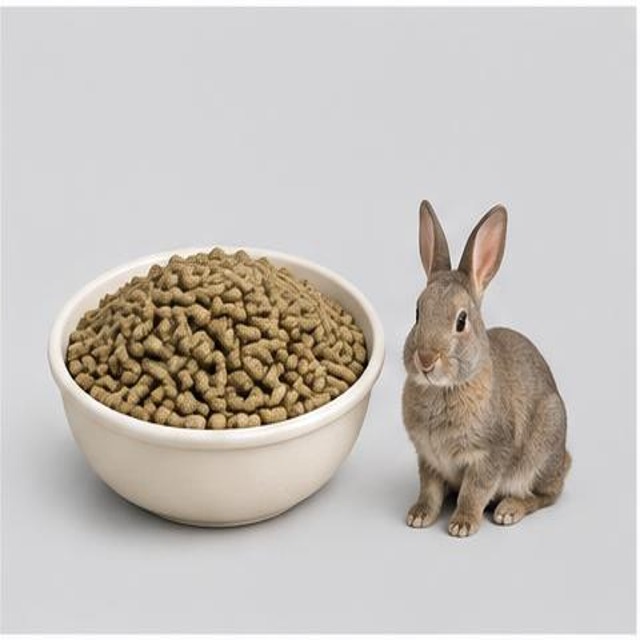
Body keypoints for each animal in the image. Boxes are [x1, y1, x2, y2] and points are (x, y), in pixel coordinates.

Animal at [402, 200, 570, 538]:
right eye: (417, 312)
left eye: (461, 321)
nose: (425, 359)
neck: (444, 388)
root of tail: (565, 459)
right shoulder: (428, 459)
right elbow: (429, 490)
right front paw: (419, 516)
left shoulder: (489, 455)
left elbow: (474, 491)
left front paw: (462, 525)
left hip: (544, 443)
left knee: (545, 495)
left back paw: (509, 510)